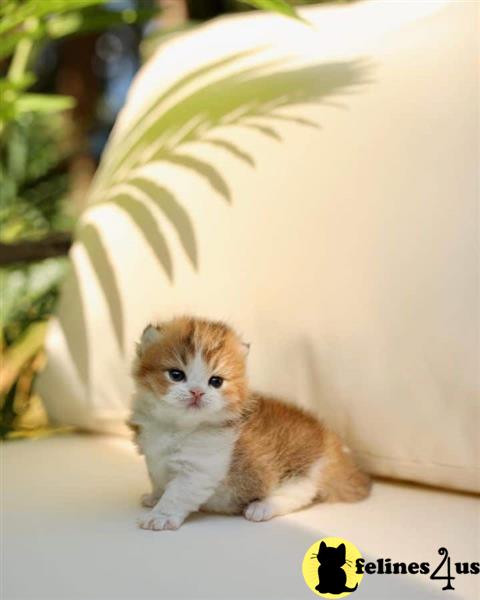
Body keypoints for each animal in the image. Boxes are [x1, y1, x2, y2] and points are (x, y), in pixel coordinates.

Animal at [128, 316, 372, 532]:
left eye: (215, 381)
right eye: (176, 375)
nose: (197, 392)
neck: (175, 426)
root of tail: (331, 442)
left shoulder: (198, 470)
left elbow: (177, 494)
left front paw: (160, 516)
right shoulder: (153, 458)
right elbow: (158, 481)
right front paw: (155, 497)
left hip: (301, 471)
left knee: (299, 495)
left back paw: (261, 507)